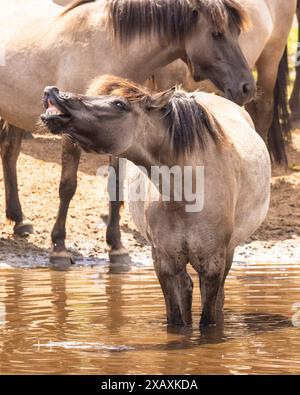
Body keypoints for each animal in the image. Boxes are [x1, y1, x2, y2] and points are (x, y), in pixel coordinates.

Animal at [0, 0, 255, 270]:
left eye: (237, 32)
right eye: (216, 33)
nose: (247, 87)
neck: (106, 48)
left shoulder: (122, 135)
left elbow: (115, 188)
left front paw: (116, 247)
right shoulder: (70, 133)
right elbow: (67, 186)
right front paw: (59, 247)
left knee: (10, 153)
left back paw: (19, 220)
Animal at [40, 75, 272, 328]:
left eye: (119, 104)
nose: (53, 92)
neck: (184, 196)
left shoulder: (213, 265)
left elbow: (208, 318)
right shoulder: (164, 264)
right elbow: (177, 319)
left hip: (226, 255)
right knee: (187, 288)